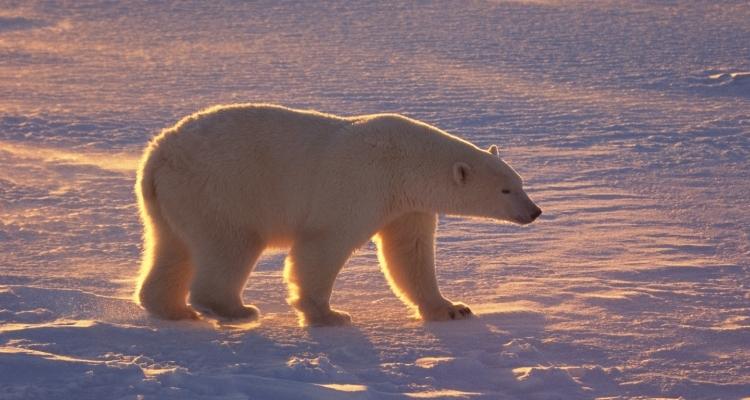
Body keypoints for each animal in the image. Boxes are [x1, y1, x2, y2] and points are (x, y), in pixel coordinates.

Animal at [134, 104, 541, 326]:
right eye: (506, 190)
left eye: (521, 182)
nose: (535, 211)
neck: (406, 162)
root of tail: (158, 154)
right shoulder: (360, 184)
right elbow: (323, 245)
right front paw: (328, 315)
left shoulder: (408, 206)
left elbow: (409, 253)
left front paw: (452, 308)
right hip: (221, 189)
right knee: (231, 244)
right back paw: (234, 309)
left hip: (173, 200)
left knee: (172, 247)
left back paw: (171, 309)